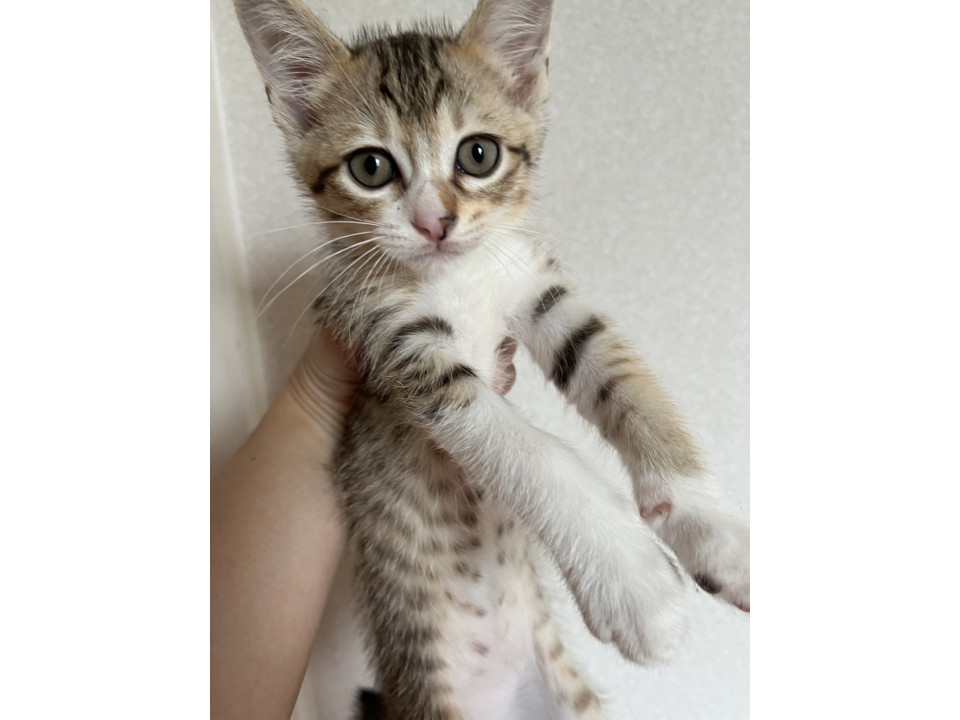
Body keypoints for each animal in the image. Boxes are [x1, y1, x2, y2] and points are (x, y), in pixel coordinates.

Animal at [232, 0, 749, 718]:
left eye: (478, 154)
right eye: (371, 168)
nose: (435, 222)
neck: (456, 275)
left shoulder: (540, 293)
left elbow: (624, 377)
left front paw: (710, 525)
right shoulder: (396, 343)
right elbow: (526, 447)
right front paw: (633, 584)